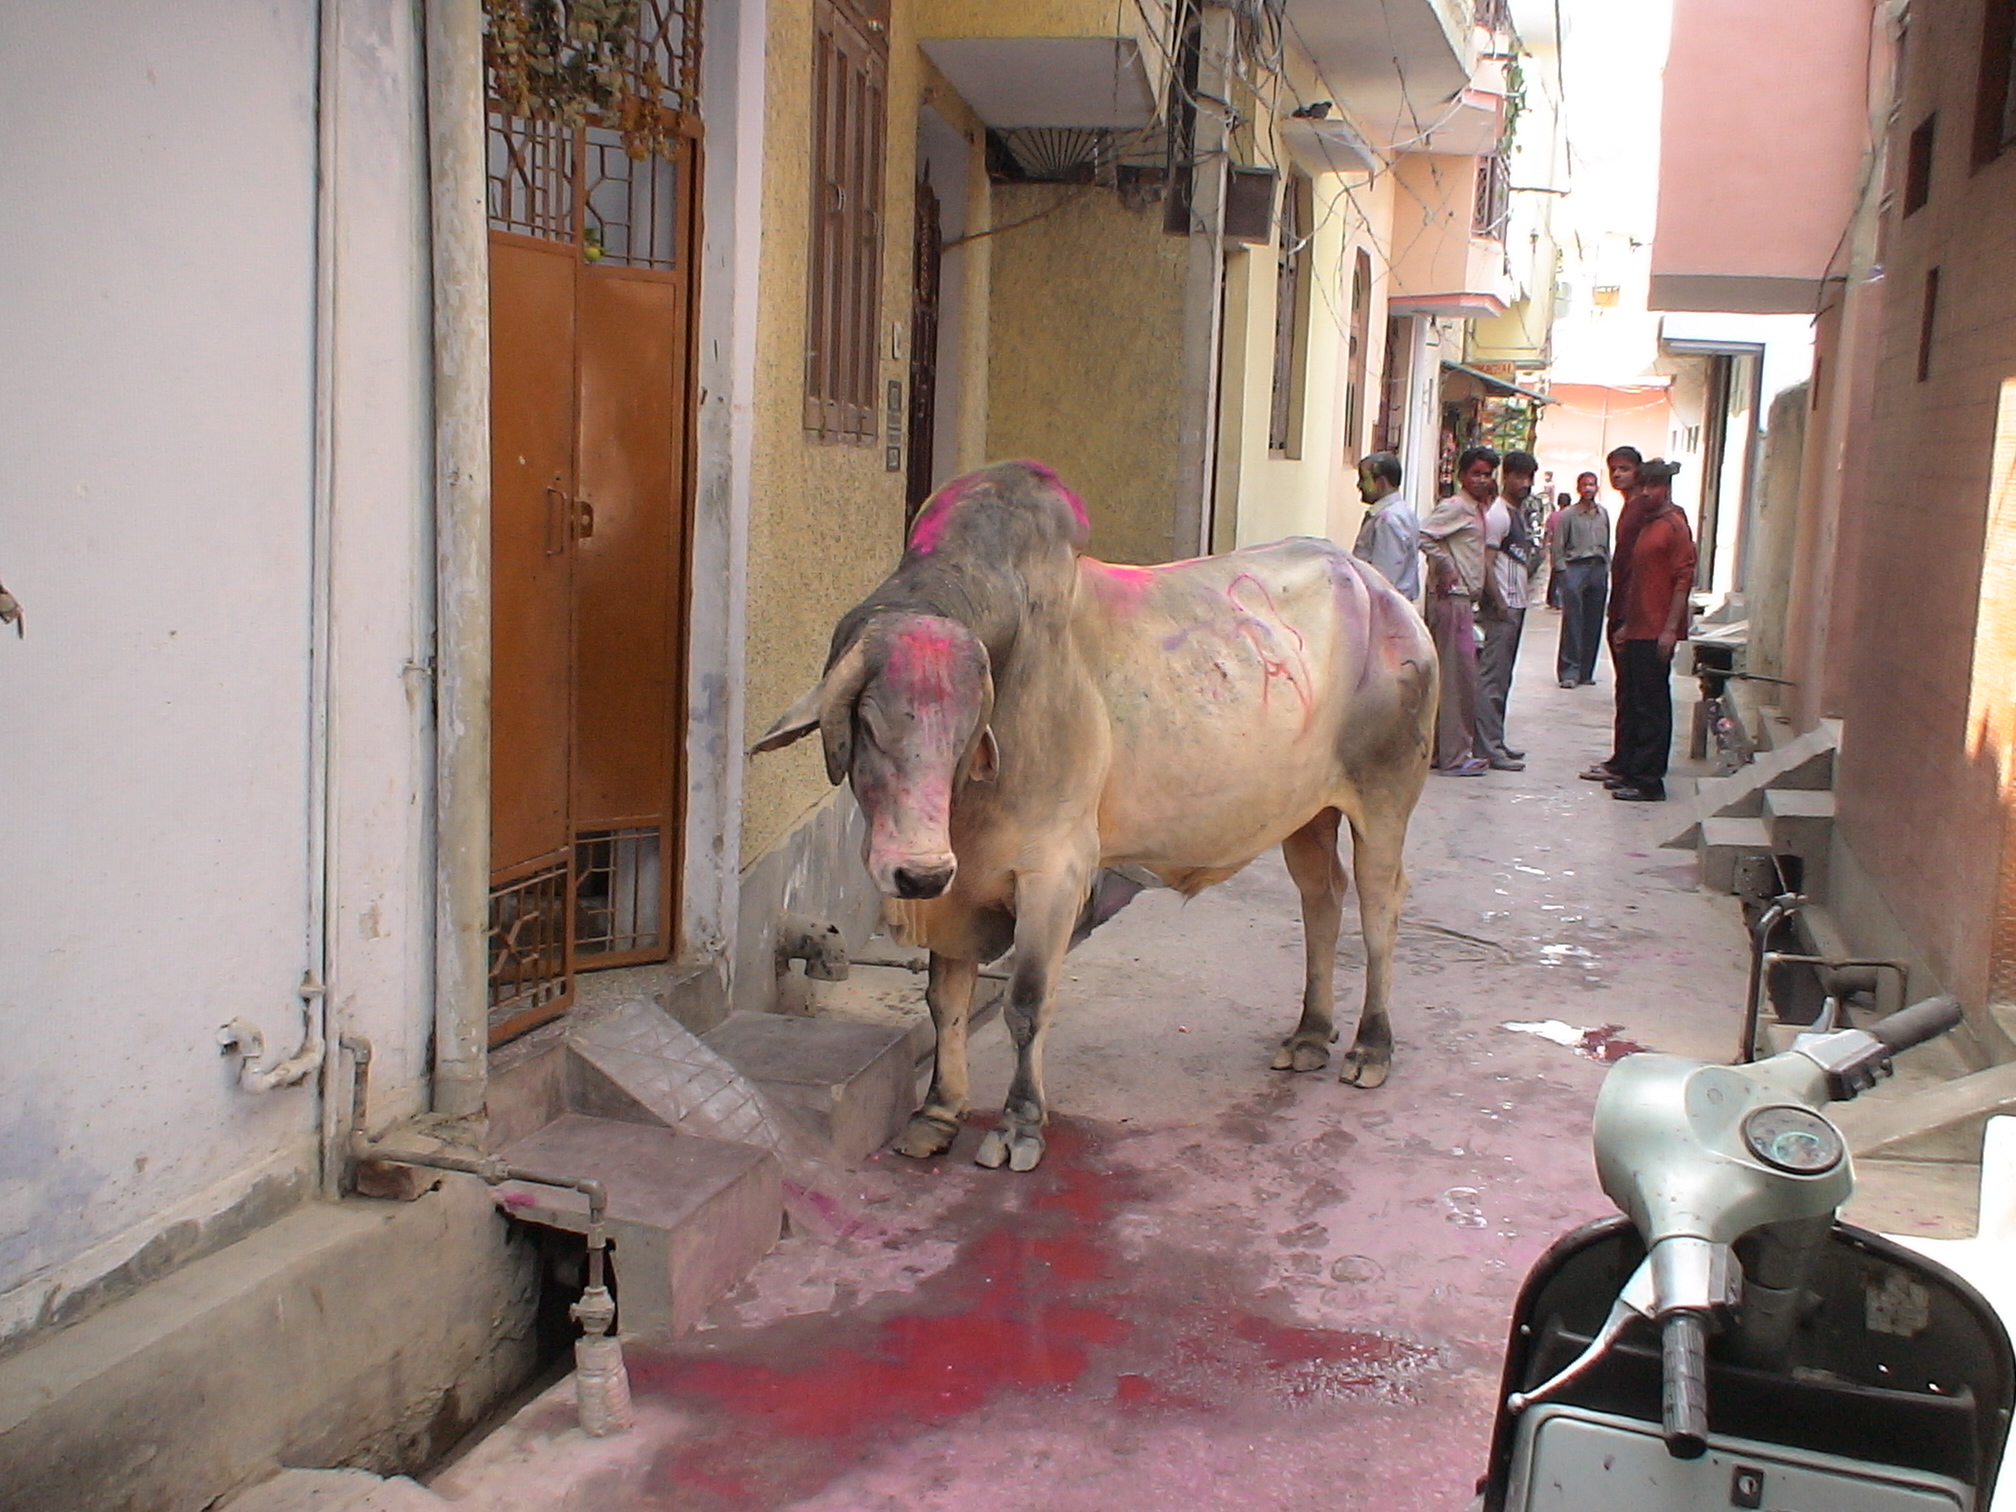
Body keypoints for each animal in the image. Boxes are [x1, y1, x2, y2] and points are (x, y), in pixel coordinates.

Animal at [753, 461, 1436, 1172]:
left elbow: (1026, 1003)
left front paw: (1019, 1125)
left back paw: (1370, 1046)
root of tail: (1380, 591)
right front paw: (938, 1112)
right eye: (864, 722)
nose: (918, 873)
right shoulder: (958, 888)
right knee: (1321, 897)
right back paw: (1309, 1034)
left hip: (1385, 796)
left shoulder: (1055, 871)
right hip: (1307, 813)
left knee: (1379, 905)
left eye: (966, 731)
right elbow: (945, 1001)